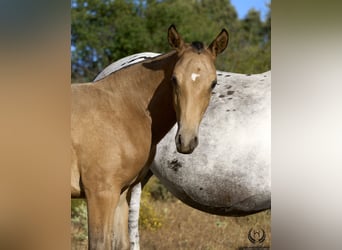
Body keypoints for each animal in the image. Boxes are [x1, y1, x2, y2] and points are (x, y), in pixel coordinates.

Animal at [71, 25, 228, 250]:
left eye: (213, 83)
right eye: (174, 79)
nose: (186, 141)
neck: (122, 108)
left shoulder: (121, 193)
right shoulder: (100, 193)